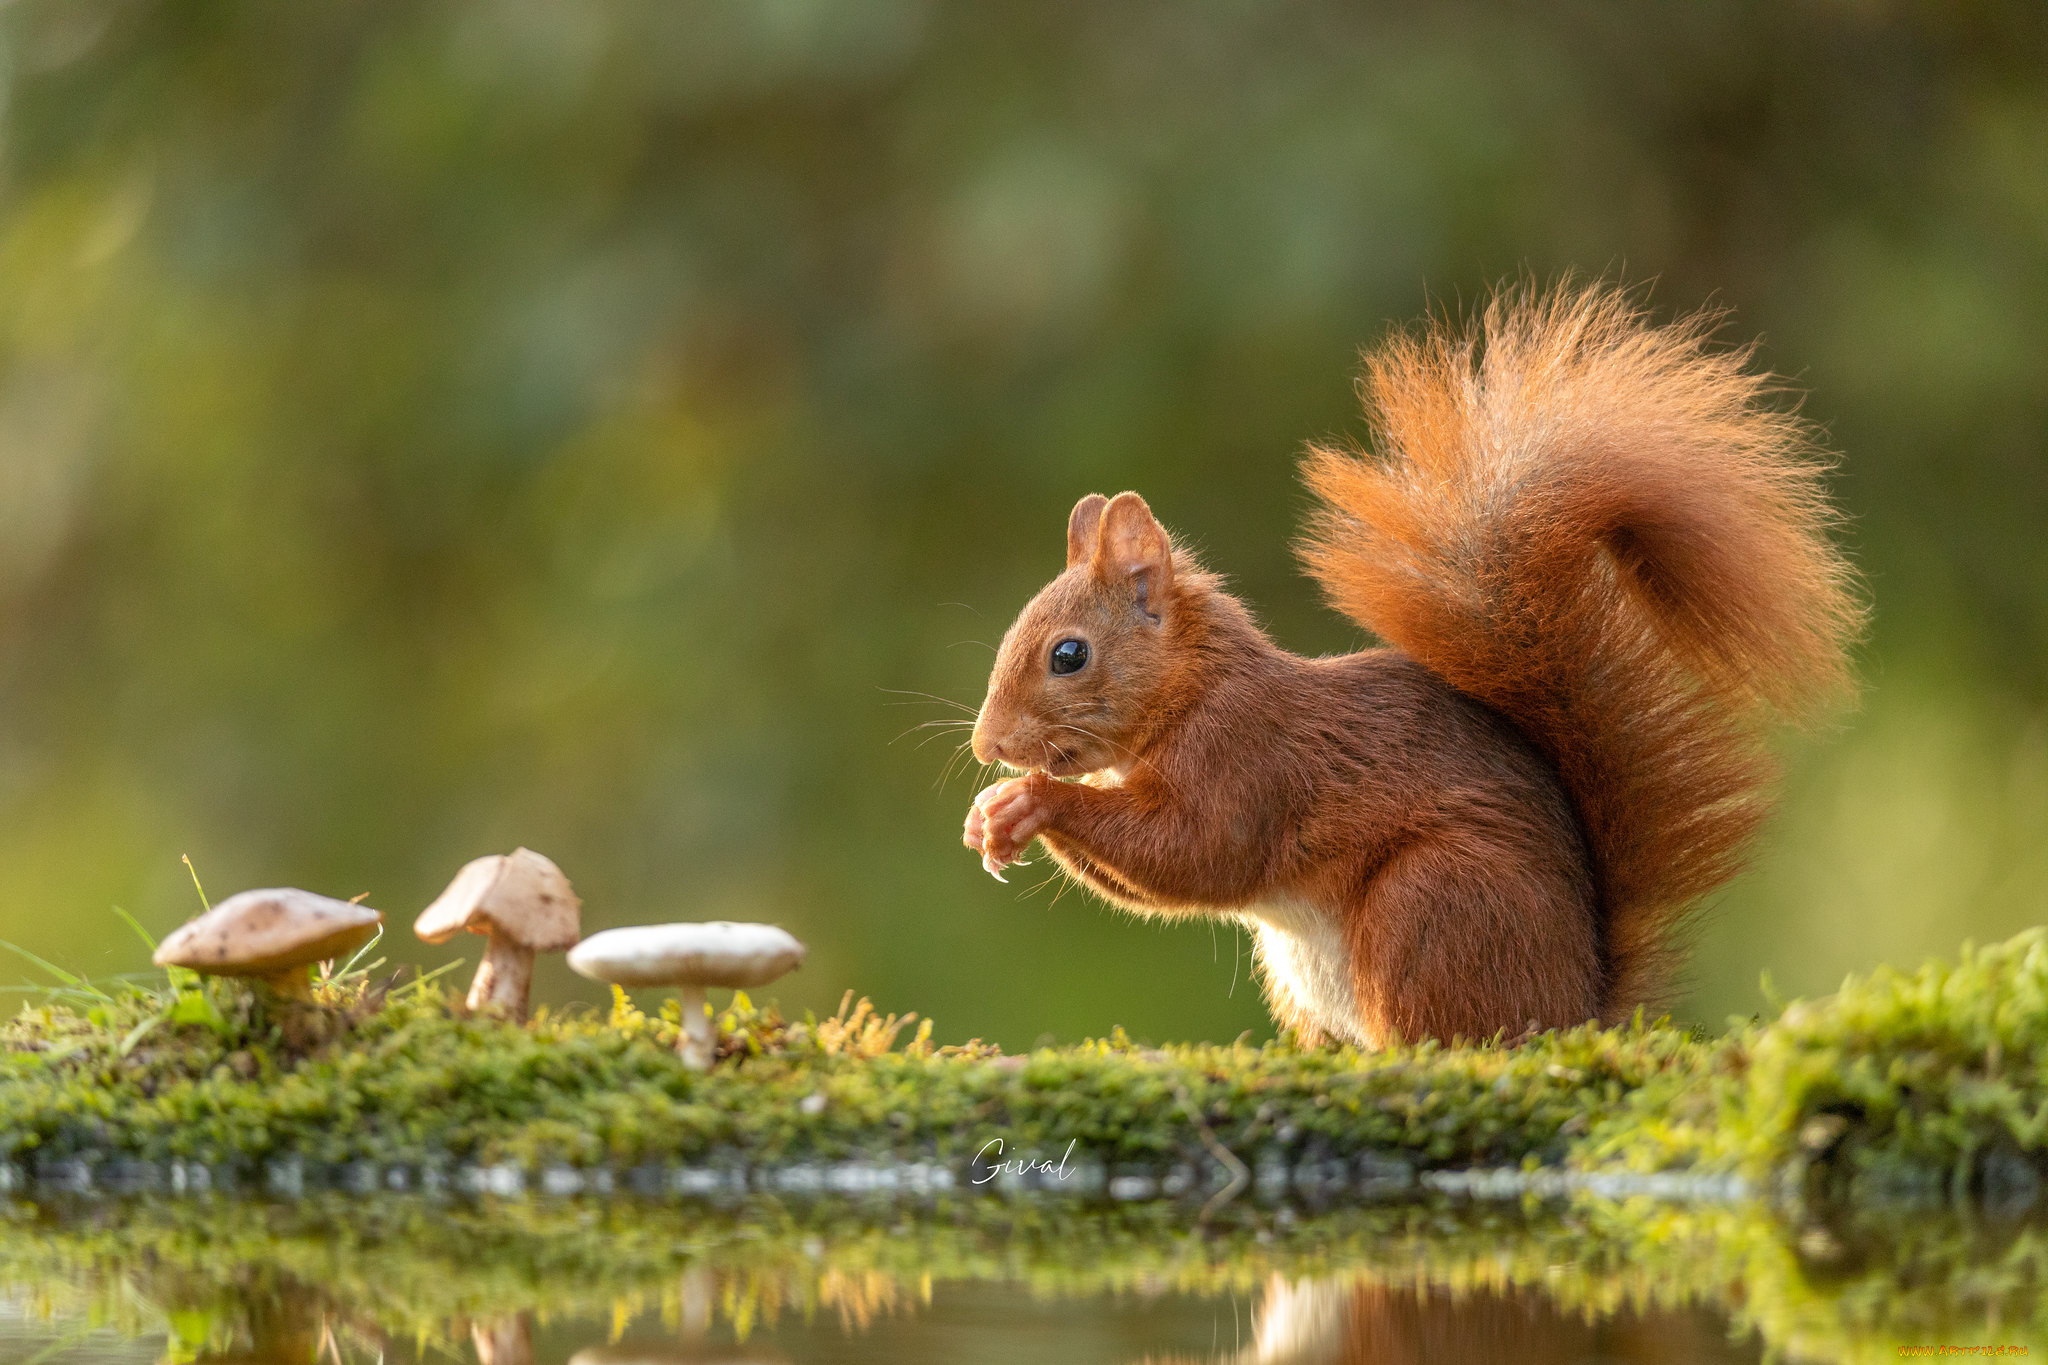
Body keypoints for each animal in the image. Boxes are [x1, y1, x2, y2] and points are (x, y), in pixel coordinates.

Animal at [958, 282, 1859, 1039]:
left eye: (1068, 655)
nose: (986, 746)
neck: (1195, 689)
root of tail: (1577, 1005)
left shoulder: (1249, 757)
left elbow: (1197, 851)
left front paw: (1030, 799)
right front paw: (988, 817)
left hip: (1432, 901)